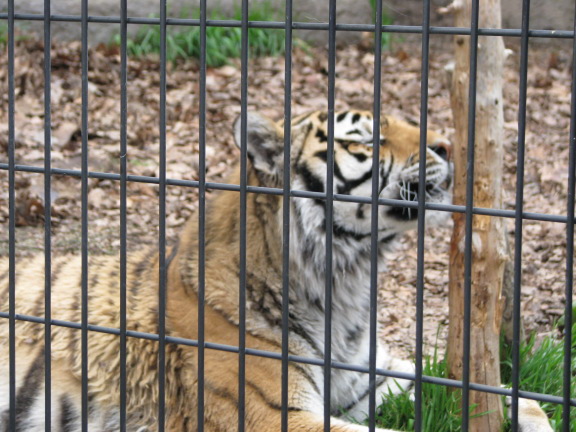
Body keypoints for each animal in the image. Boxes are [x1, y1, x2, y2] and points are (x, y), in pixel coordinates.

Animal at [0, 110, 550, 431]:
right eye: (366, 140)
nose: (449, 145)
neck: (343, 283)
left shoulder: (372, 380)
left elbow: (501, 394)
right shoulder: (271, 414)